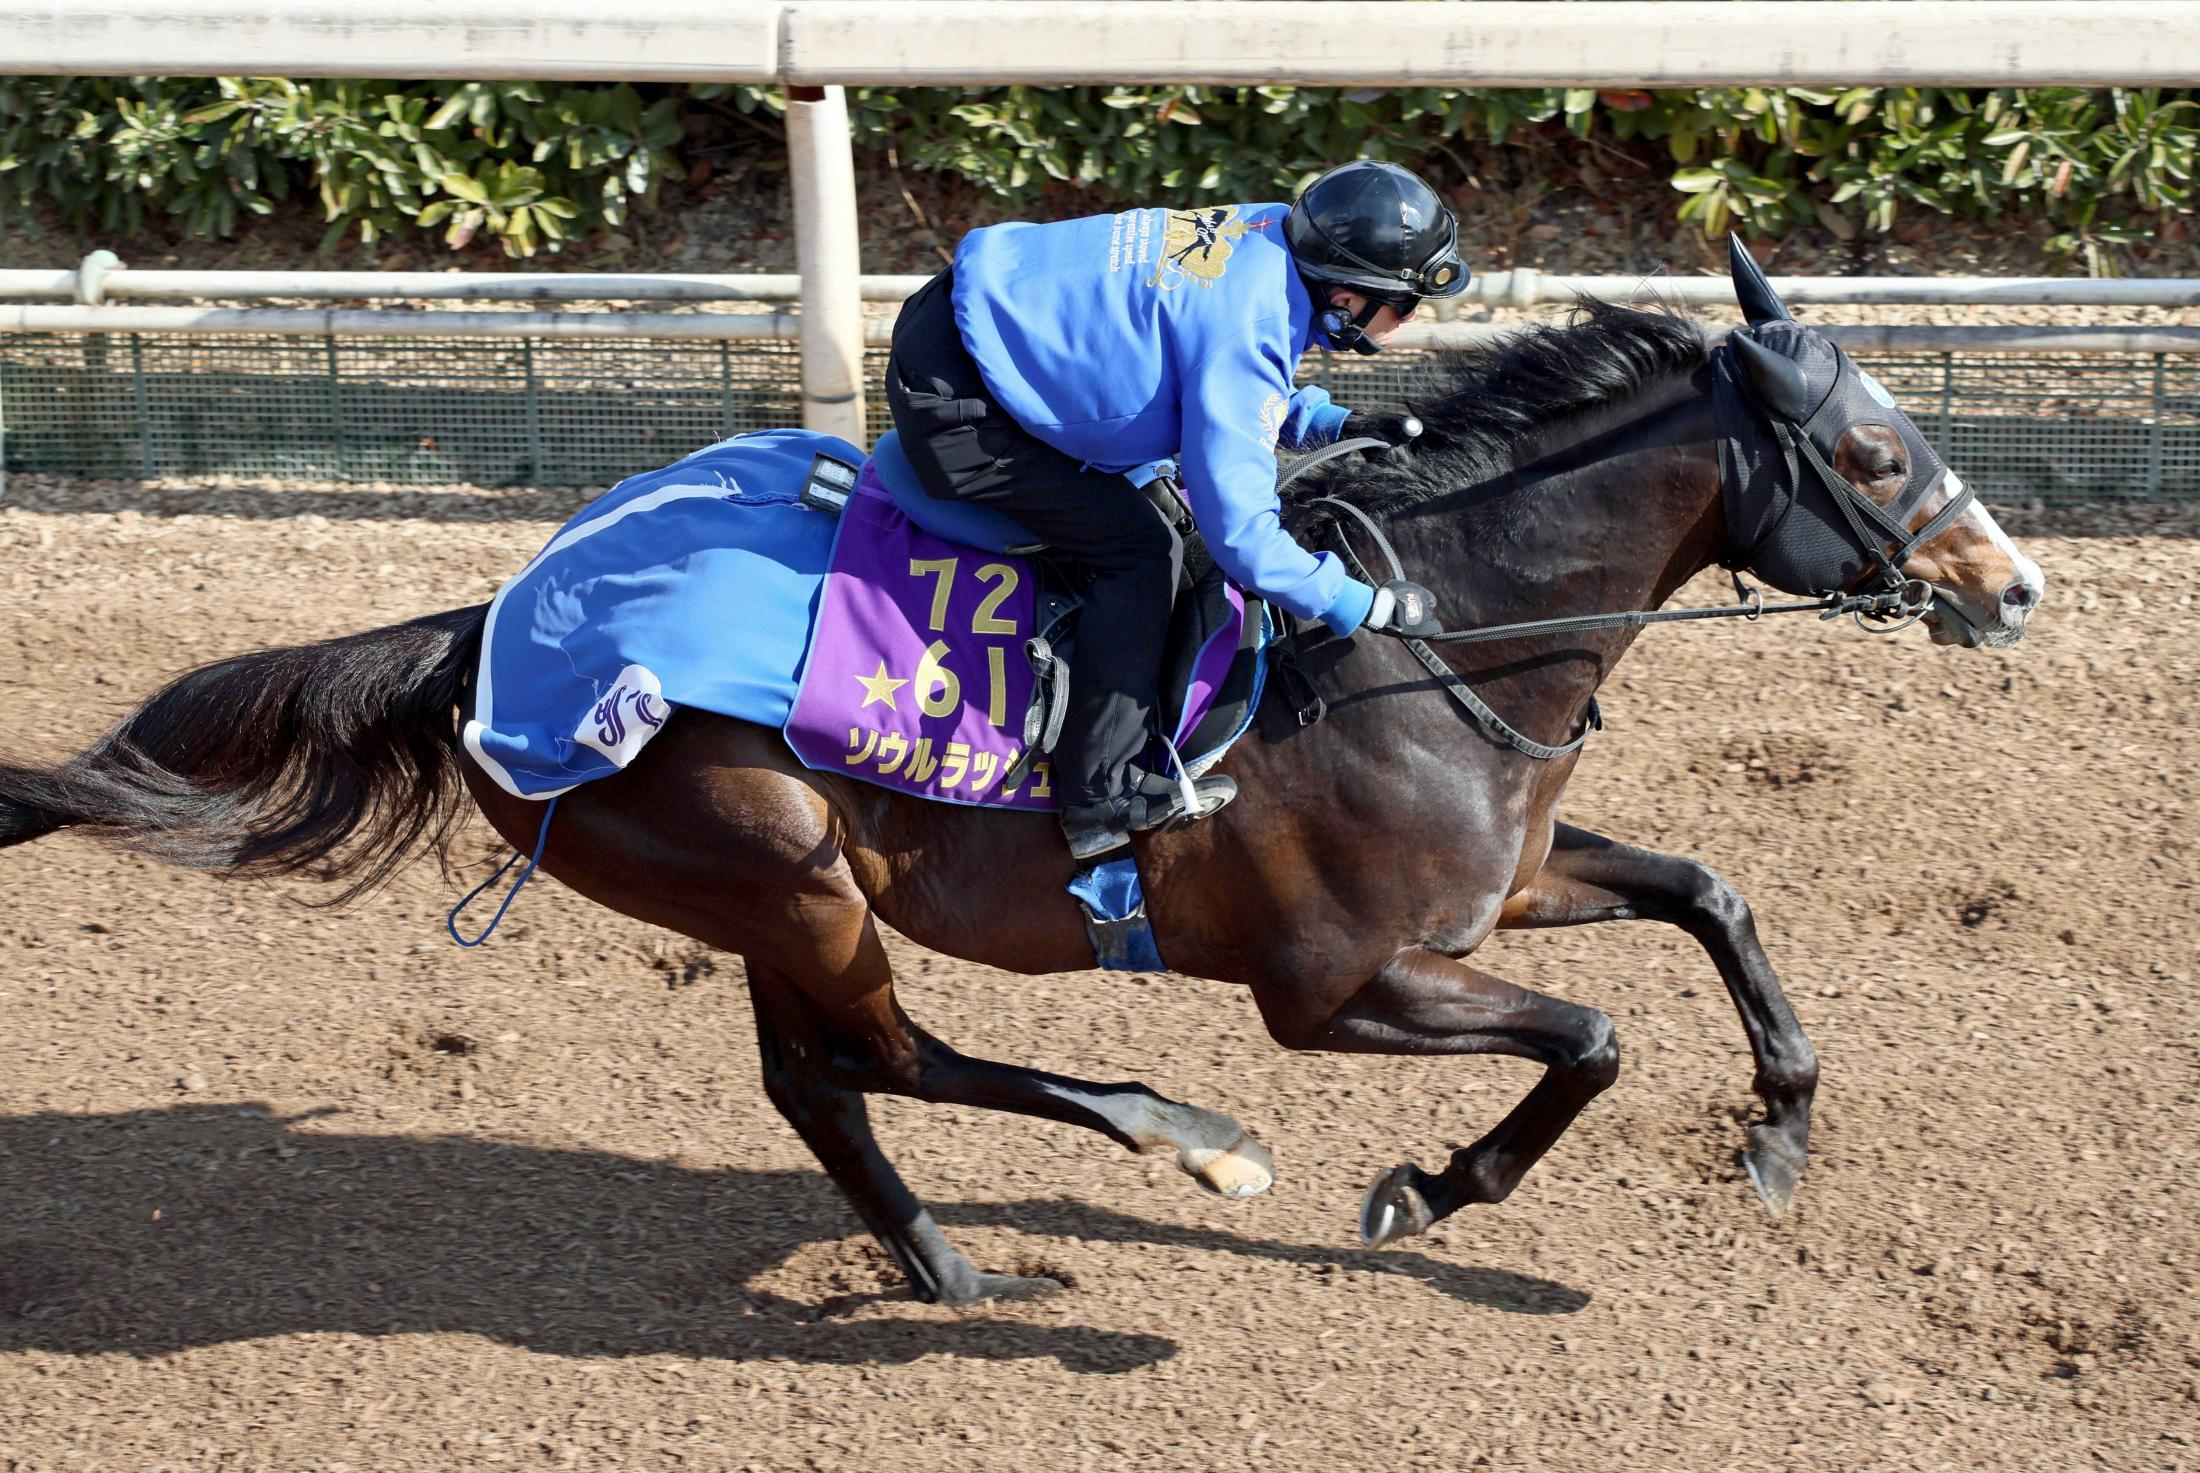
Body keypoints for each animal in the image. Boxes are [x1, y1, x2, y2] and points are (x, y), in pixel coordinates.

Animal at [4, 248, 2041, 1310]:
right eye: (1875, 450)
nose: (2011, 585)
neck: (1439, 627)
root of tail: (492, 621)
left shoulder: (1498, 889)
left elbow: (1714, 894)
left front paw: (1778, 1135)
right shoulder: (1333, 985)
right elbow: (1597, 1040)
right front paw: (1426, 1190)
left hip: (772, 886)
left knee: (821, 1083)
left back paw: (938, 1254)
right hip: (784, 872)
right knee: (889, 1056)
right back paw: (1179, 1136)